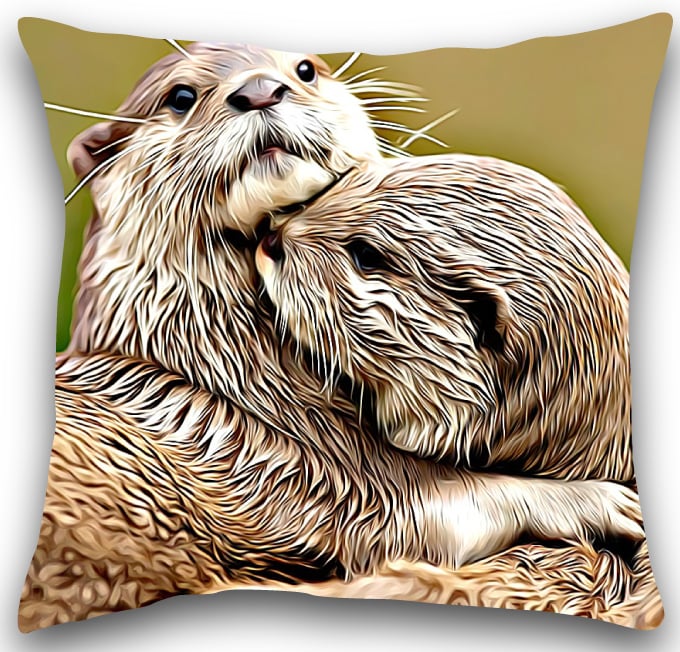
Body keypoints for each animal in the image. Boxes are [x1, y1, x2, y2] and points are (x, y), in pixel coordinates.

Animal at [22, 44, 645, 630]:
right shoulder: (312, 470)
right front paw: (595, 501)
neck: (223, 359)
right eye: (180, 97)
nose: (259, 89)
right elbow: (441, 509)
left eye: (304, 69)